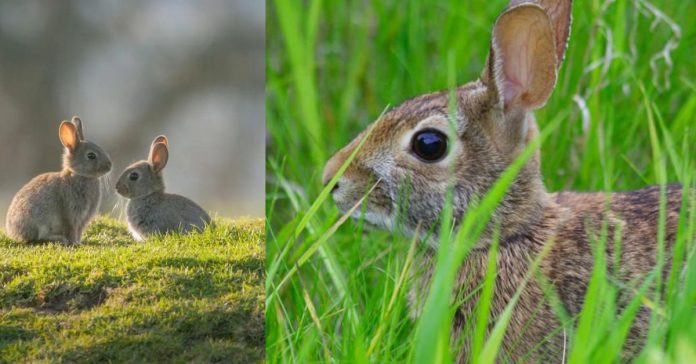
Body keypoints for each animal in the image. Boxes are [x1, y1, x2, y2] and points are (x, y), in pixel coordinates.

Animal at [5, 116, 113, 245]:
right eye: (91, 156)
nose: (109, 166)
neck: (79, 175)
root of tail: (12, 231)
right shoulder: (71, 214)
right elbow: (71, 229)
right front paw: (75, 243)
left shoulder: (83, 219)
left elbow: (79, 231)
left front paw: (79, 242)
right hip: (37, 221)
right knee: (37, 238)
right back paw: (59, 239)